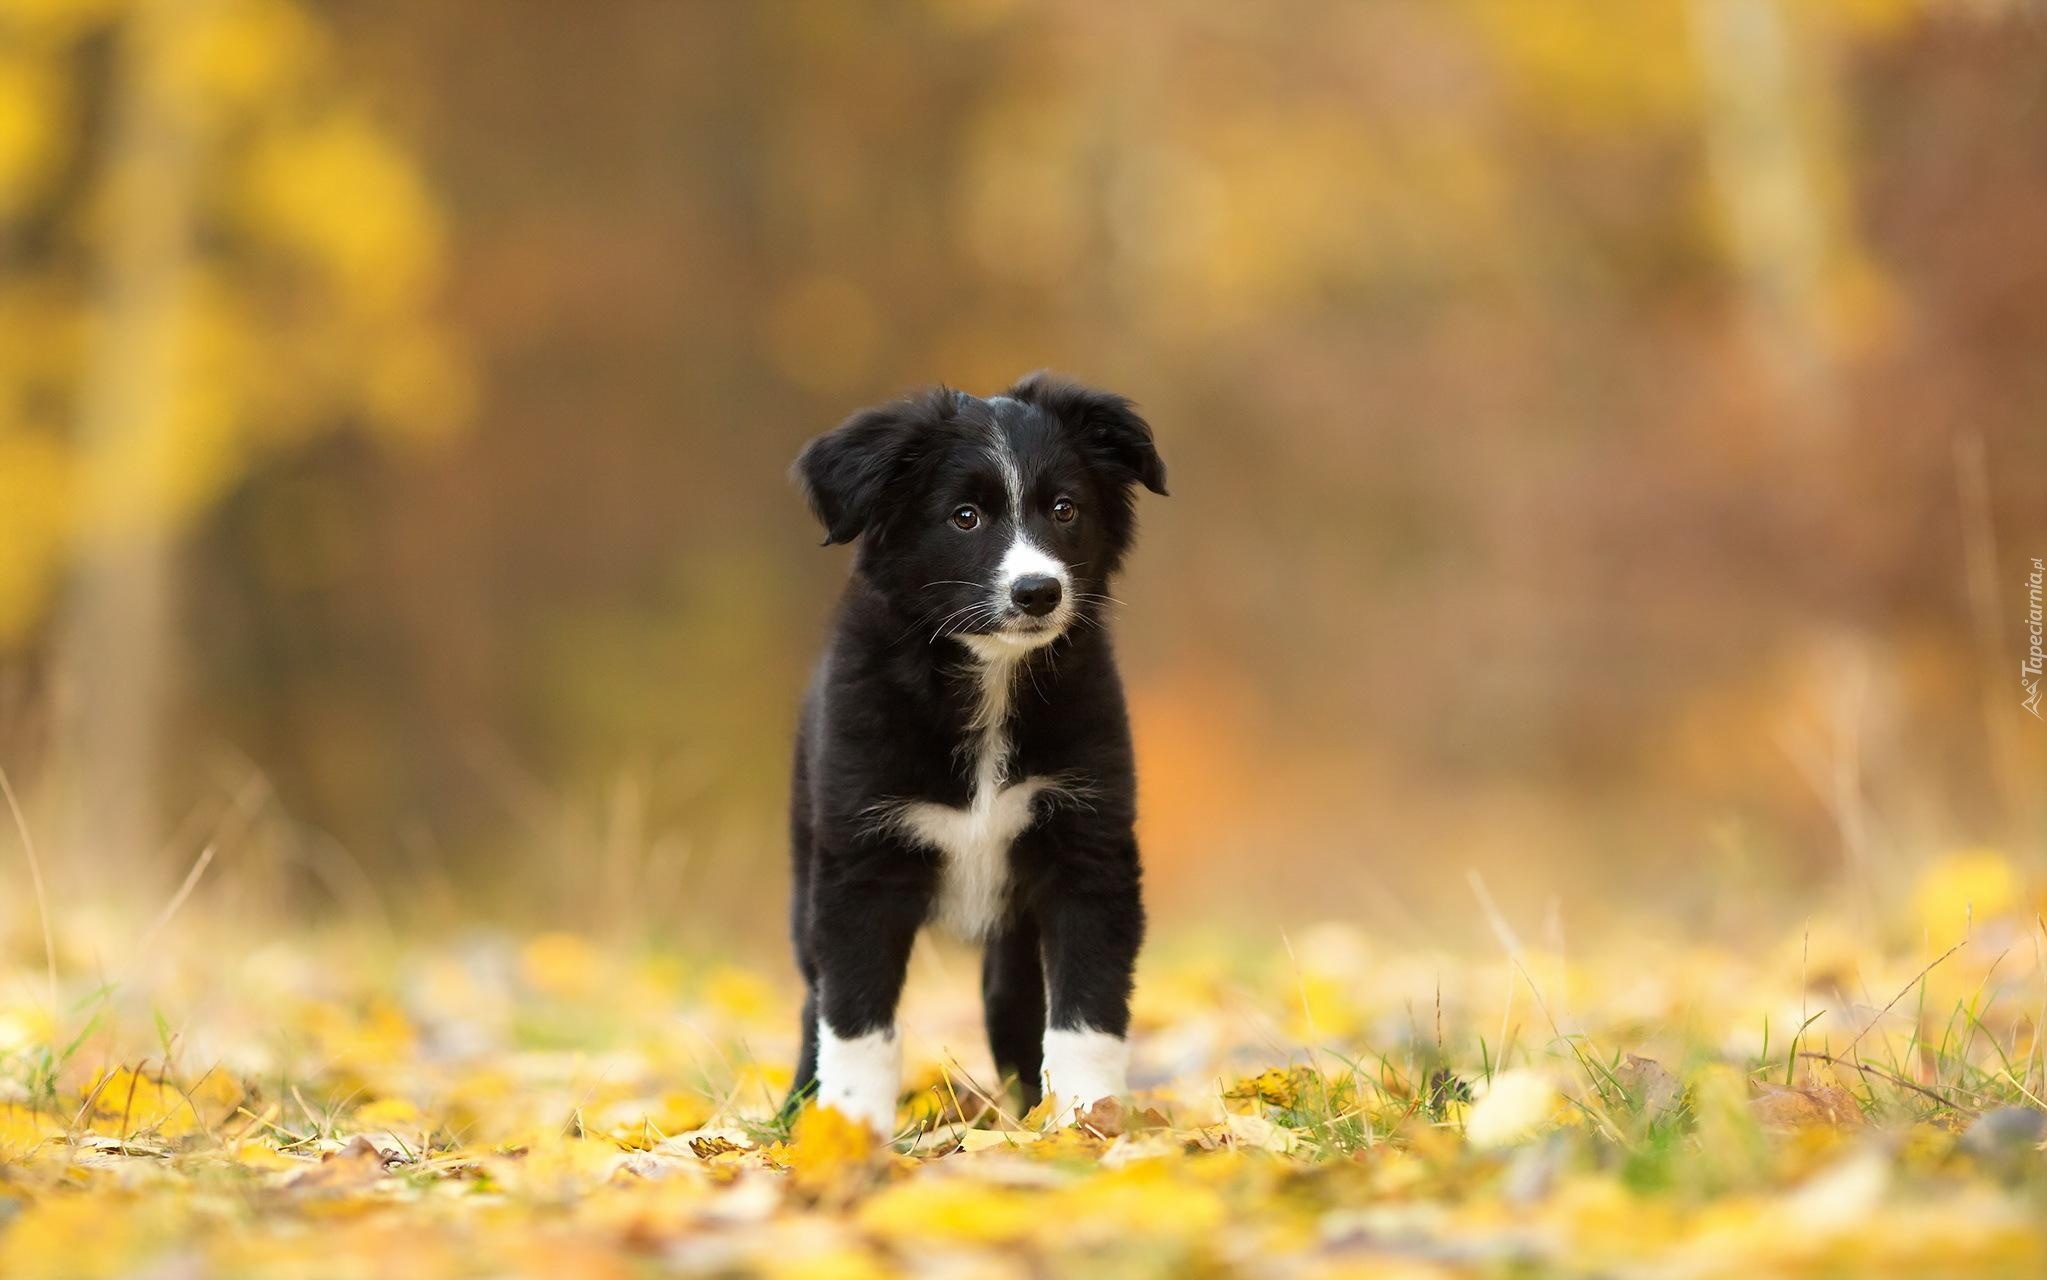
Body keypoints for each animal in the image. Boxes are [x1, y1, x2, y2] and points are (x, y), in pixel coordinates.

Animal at [781, 372, 1170, 1130]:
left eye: (1064, 509)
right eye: (964, 517)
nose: (1038, 591)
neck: (991, 678)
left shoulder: (1088, 845)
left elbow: (1087, 1007)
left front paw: (1089, 1119)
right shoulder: (859, 865)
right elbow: (858, 1019)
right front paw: (849, 1131)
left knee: (1011, 1001)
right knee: (817, 1000)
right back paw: (797, 1111)